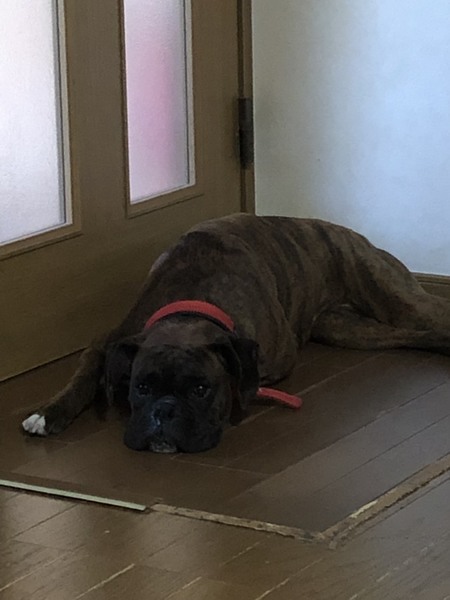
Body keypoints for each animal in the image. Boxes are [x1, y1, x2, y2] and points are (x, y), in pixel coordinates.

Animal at [22, 214, 450, 453]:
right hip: (351, 329)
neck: (190, 307)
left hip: (395, 299)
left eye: (201, 389)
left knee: (432, 315)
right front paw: (49, 412)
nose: (164, 411)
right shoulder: (108, 341)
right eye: (141, 388)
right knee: (410, 335)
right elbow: (81, 377)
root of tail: (343, 231)